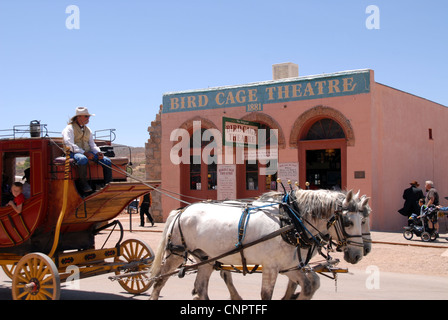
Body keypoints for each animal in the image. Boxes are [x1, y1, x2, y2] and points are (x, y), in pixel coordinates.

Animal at [150, 189, 364, 298]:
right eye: (348, 222)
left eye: (363, 220)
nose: (357, 255)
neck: (290, 221)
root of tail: (181, 211)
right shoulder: (270, 266)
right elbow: (266, 295)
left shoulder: (289, 266)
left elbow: (310, 285)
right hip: (176, 254)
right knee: (159, 281)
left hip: (206, 258)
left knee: (201, 289)